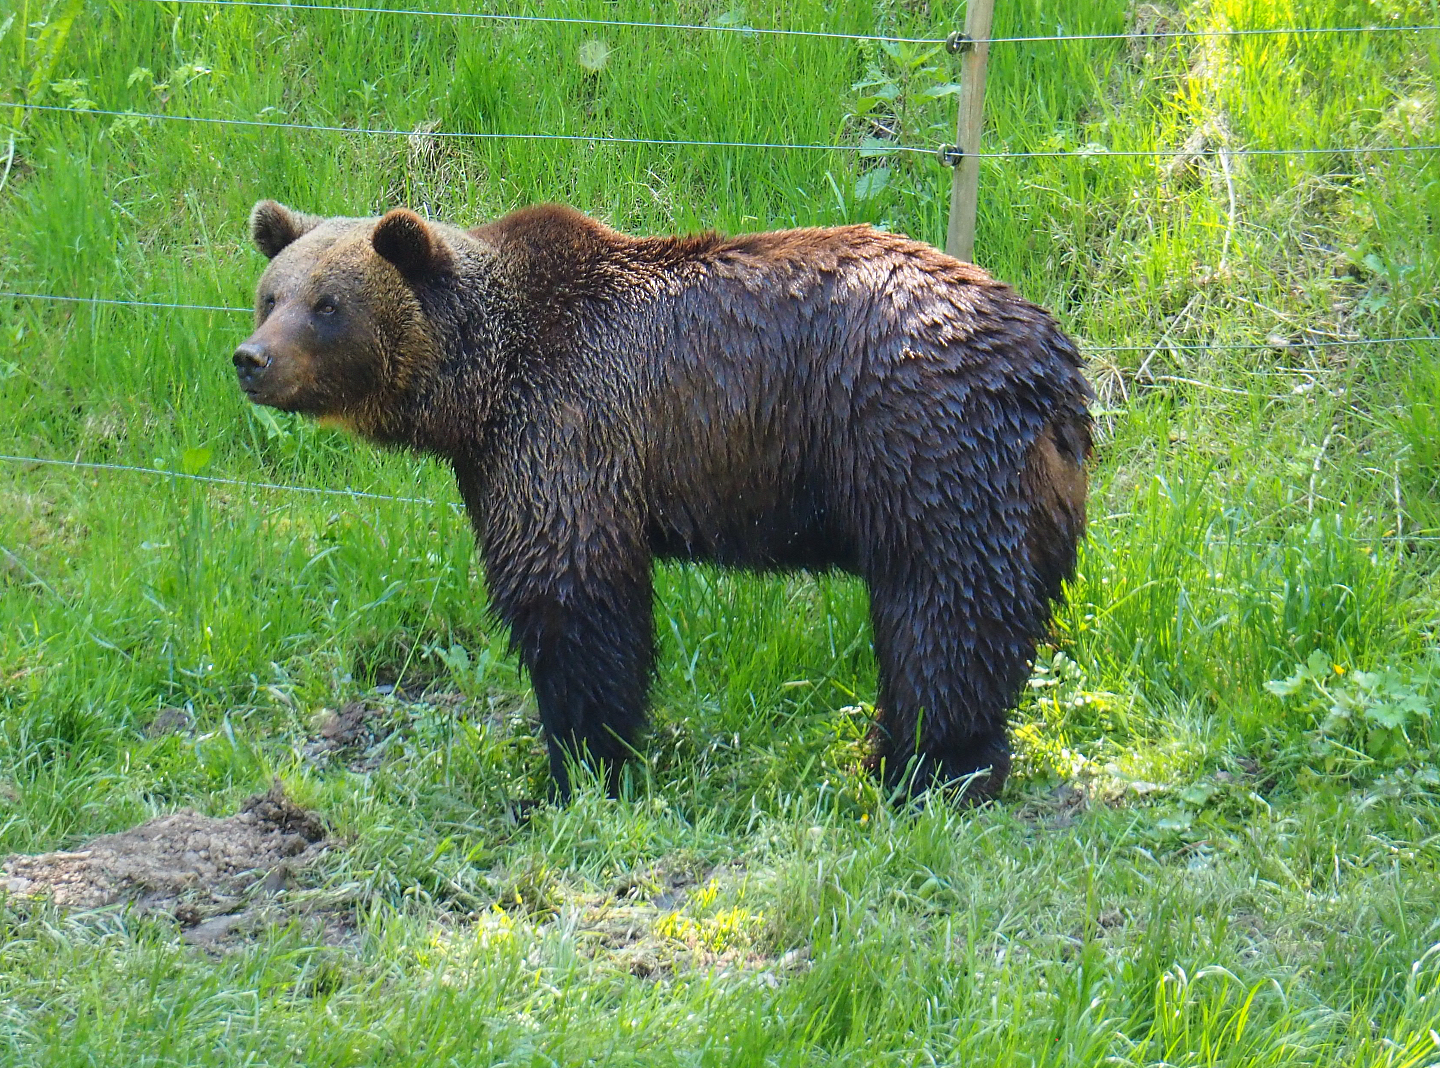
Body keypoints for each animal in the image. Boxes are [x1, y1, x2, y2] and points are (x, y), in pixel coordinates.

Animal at [234, 200, 1092, 802]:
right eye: (270, 295)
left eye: (327, 304)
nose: (251, 359)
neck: (478, 390)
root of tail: (1051, 355)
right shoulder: (499, 458)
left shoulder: (568, 428)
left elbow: (575, 601)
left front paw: (576, 772)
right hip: (1027, 493)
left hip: (917, 443)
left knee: (945, 606)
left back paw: (929, 771)